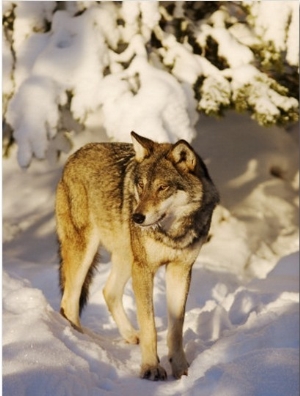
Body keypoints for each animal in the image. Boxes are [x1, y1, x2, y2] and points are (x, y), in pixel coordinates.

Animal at [55, 132, 219, 380]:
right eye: (141, 185)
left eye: (162, 187)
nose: (137, 217)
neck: (171, 234)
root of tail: (73, 156)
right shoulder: (144, 269)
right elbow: (150, 326)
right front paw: (151, 367)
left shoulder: (180, 270)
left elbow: (176, 329)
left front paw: (181, 369)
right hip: (85, 252)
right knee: (69, 303)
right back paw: (82, 345)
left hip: (125, 258)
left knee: (108, 292)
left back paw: (131, 335)